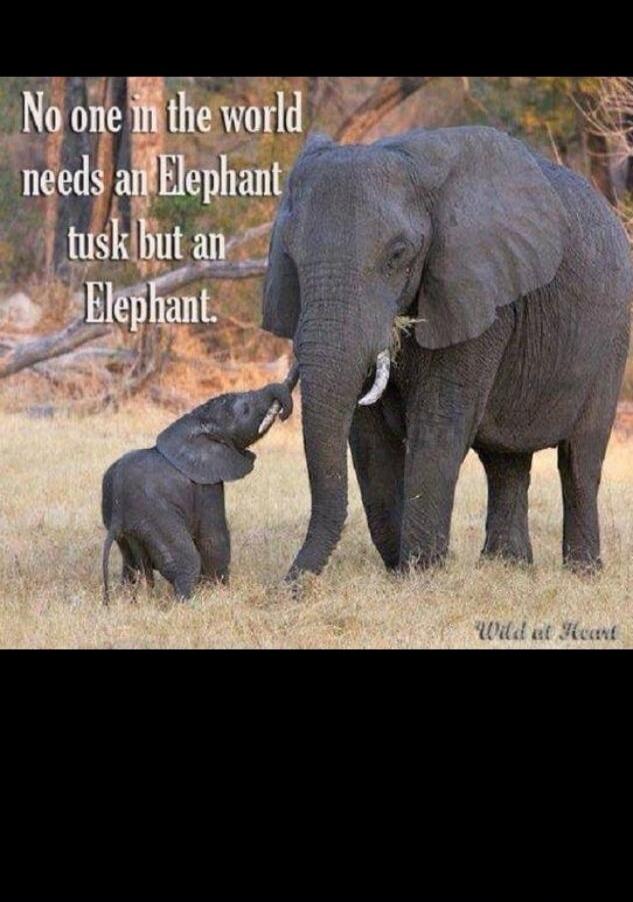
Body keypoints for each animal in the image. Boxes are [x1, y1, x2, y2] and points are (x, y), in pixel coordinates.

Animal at [101, 369, 297, 601]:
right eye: (245, 410)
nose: (283, 414)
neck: (197, 419)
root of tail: (118, 512)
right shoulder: (206, 486)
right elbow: (214, 538)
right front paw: (218, 593)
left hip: (125, 528)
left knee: (131, 566)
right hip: (154, 515)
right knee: (186, 562)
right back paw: (187, 602)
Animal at [261, 126, 633, 580]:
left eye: (398, 255)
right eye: (290, 255)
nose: (286, 585)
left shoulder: (477, 287)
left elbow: (440, 418)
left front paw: (419, 573)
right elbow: (367, 434)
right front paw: (405, 567)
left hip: (612, 336)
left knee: (580, 459)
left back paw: (581, 572)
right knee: (505, 460)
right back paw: (506, 568)